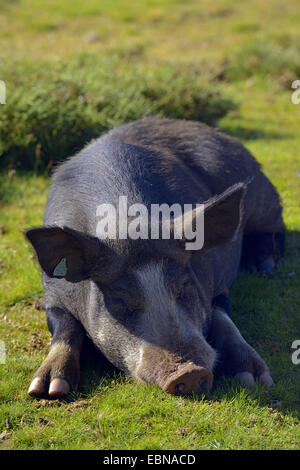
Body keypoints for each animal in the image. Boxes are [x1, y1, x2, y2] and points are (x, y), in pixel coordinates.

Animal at [25, 116, 284, 396]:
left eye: (184, 285)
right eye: (120, 299)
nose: (189, 372)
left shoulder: (215, 284)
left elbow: (223, 318)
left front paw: (254, 379)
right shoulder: (53, 293)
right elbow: (65, 328)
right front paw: (48, 389)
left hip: (263, 200)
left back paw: (262, 264)